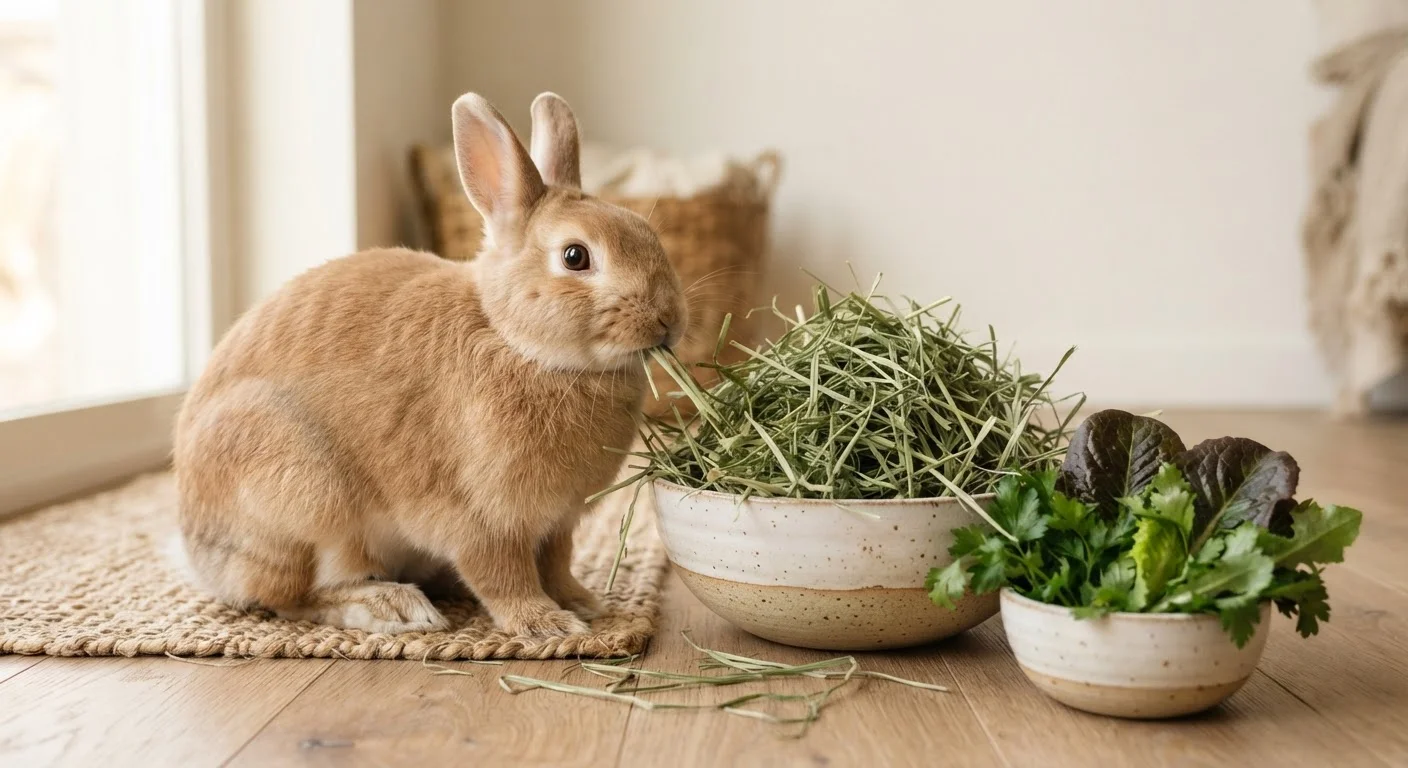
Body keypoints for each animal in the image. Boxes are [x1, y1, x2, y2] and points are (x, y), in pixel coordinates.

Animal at [172, 92, 686, 637]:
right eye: (575, 256)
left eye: (648, 232)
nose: (668, 319)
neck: (515, 341)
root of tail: (199, 555)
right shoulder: (481, 519)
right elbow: (505, 576)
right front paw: (546, 624)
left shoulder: (557, 524)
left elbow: (556, 564)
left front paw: (585, 604)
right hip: (306, 500)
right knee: (297, 596)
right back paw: (395, 607)